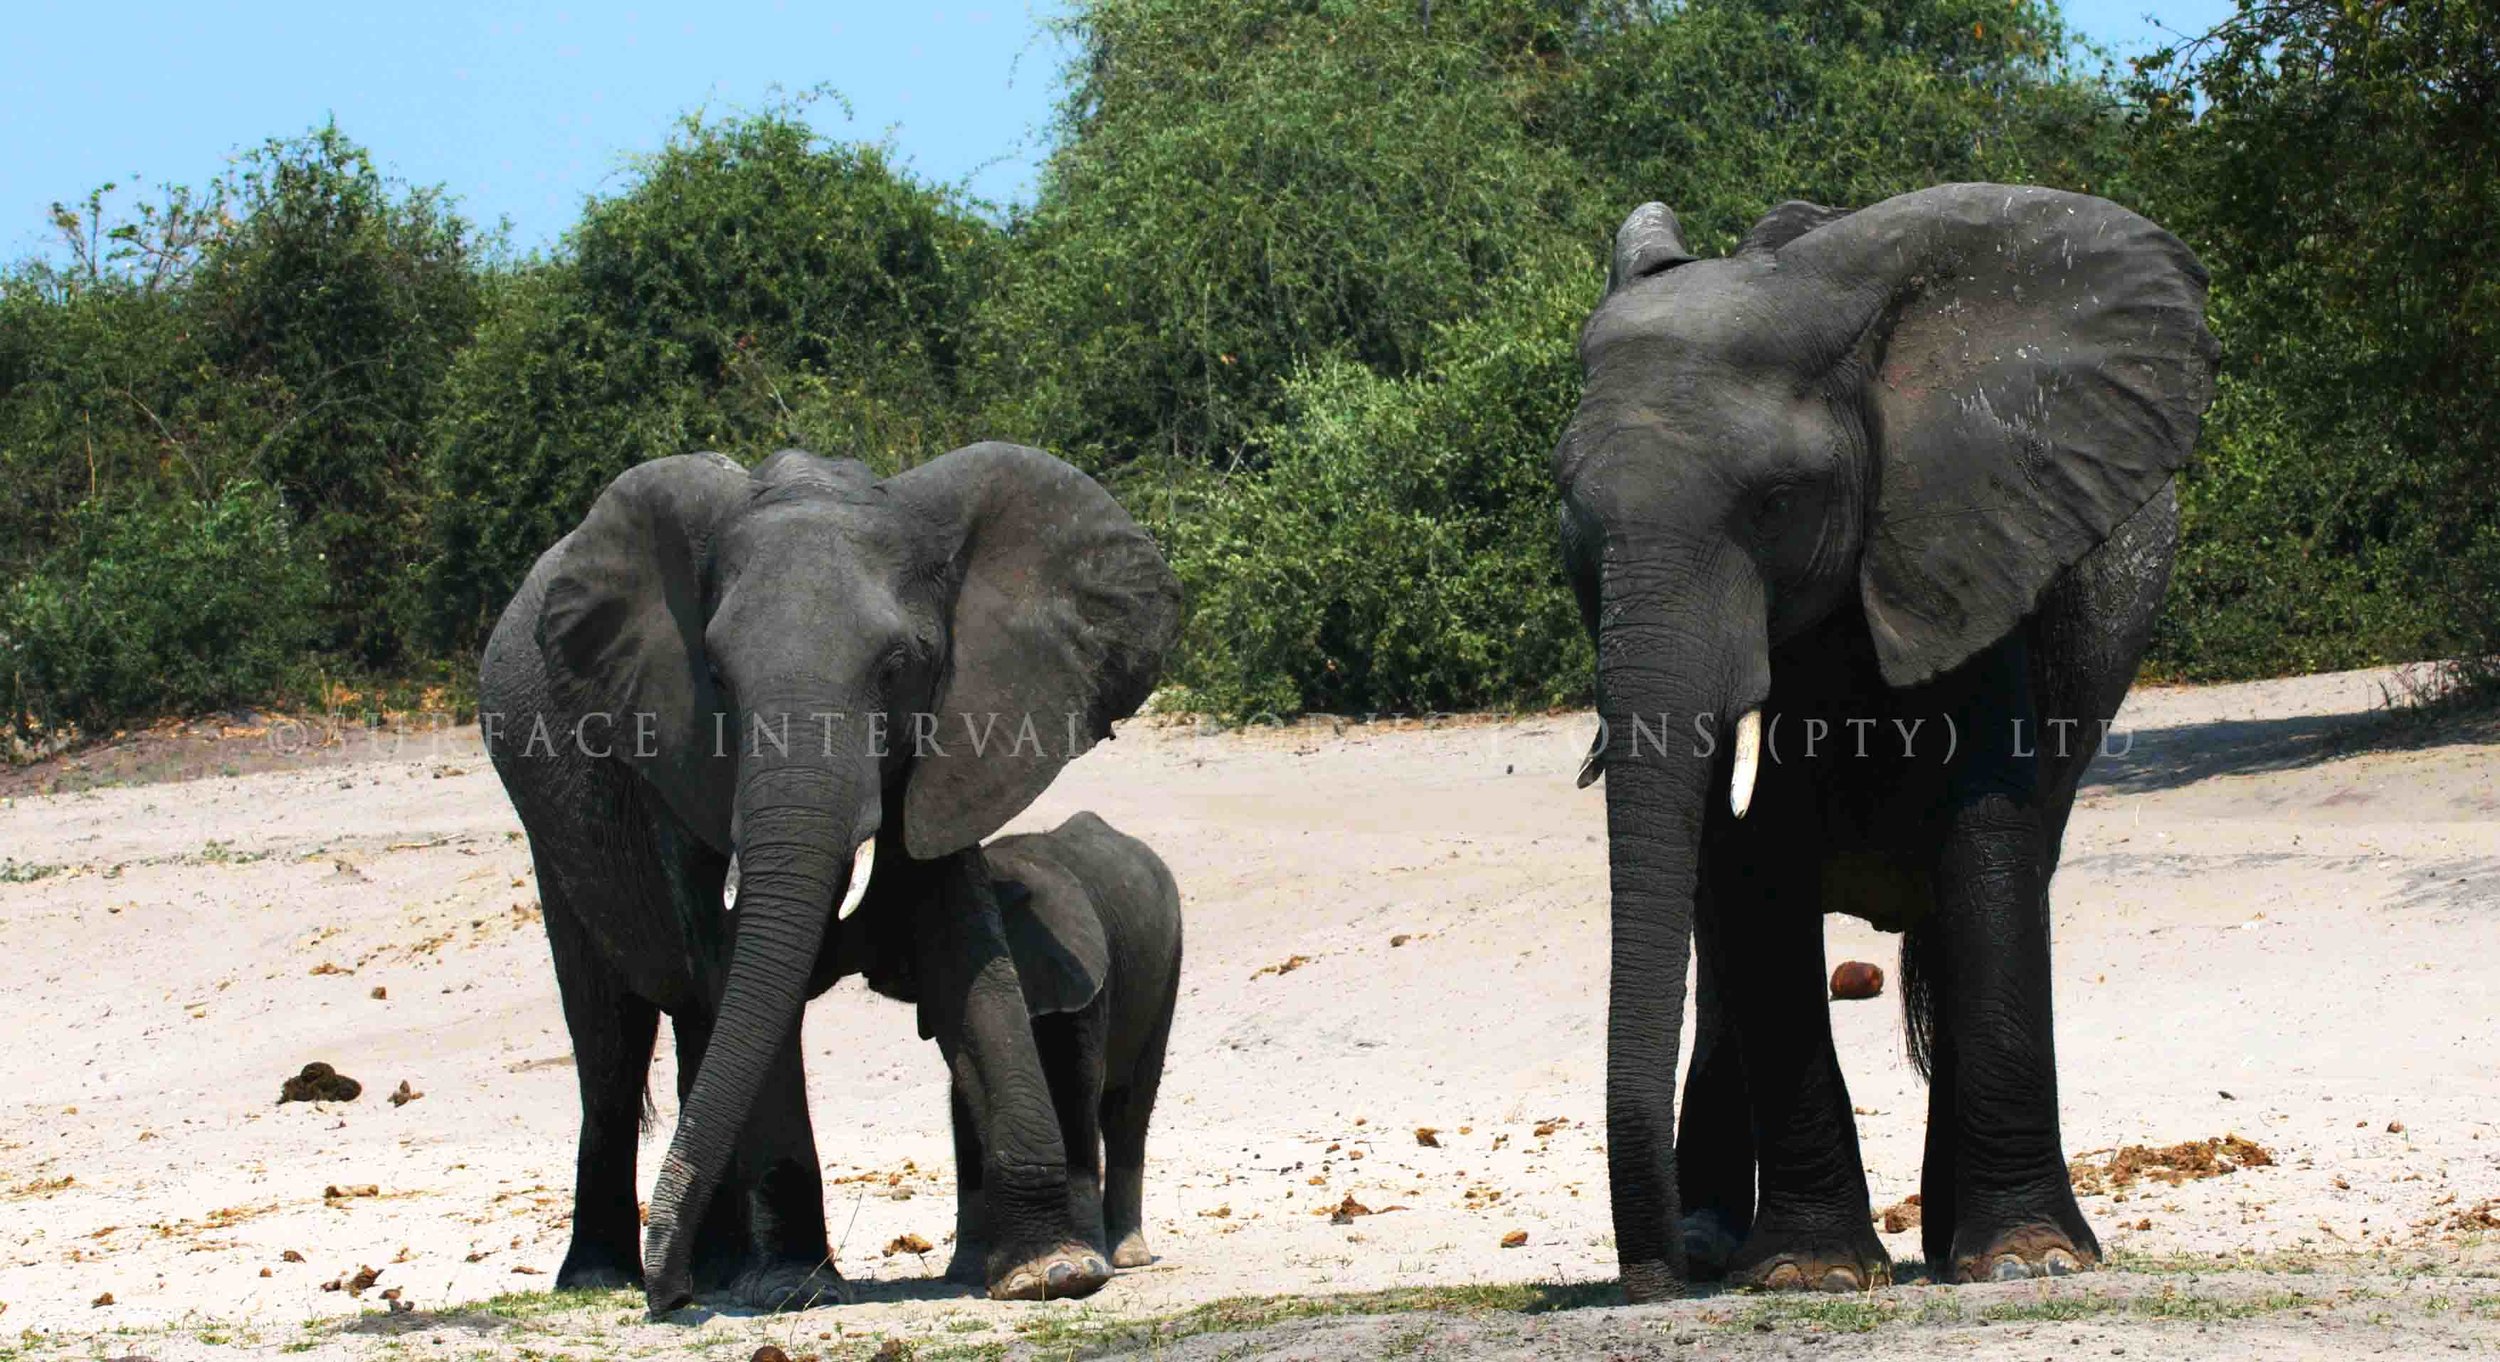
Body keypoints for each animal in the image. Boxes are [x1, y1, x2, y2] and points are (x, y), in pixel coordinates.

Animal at [830, 810, 1183, 1280]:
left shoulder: (1085, 972)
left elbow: (1075, 1085)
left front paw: (1086, 1263)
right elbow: (965, 1098)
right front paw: (964, 1271)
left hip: (1167, 968)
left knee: (1128, 1109)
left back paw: (1128, 1256)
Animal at [1554, 184, 2216, 1300]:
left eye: (1778, 503)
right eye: (1572, 528)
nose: (1649, 1280)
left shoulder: (1971, 543)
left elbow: (1984, 845)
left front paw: (2026, 1262)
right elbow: (1752, 873)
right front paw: (1808, 1275)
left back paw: (1953, 1247)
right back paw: (1719, 1241)